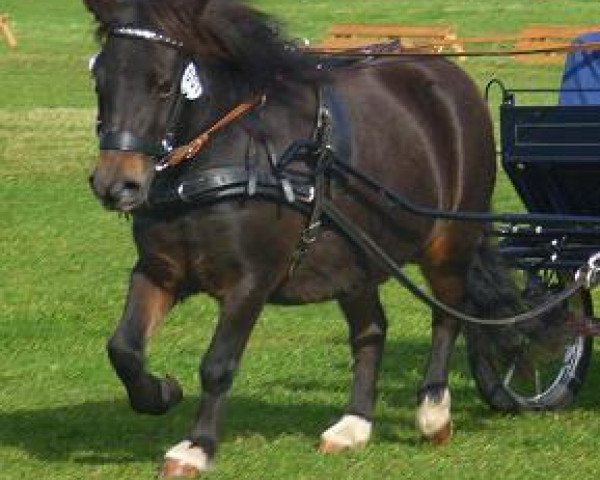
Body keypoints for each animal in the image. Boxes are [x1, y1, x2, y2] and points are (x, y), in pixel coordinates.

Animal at [84, 0, 496, 474]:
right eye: (99, 78)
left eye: (164, 84)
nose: (116, 185)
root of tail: (446, 75)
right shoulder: (159, 270)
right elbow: (124, 348)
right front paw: (161, 392)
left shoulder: (251, 282)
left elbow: (217, 364)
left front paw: (196, 447)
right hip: (353, 260)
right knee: (371, 330)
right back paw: (353, 425)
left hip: (450, 242)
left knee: (448, 317)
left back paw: (433, 412)